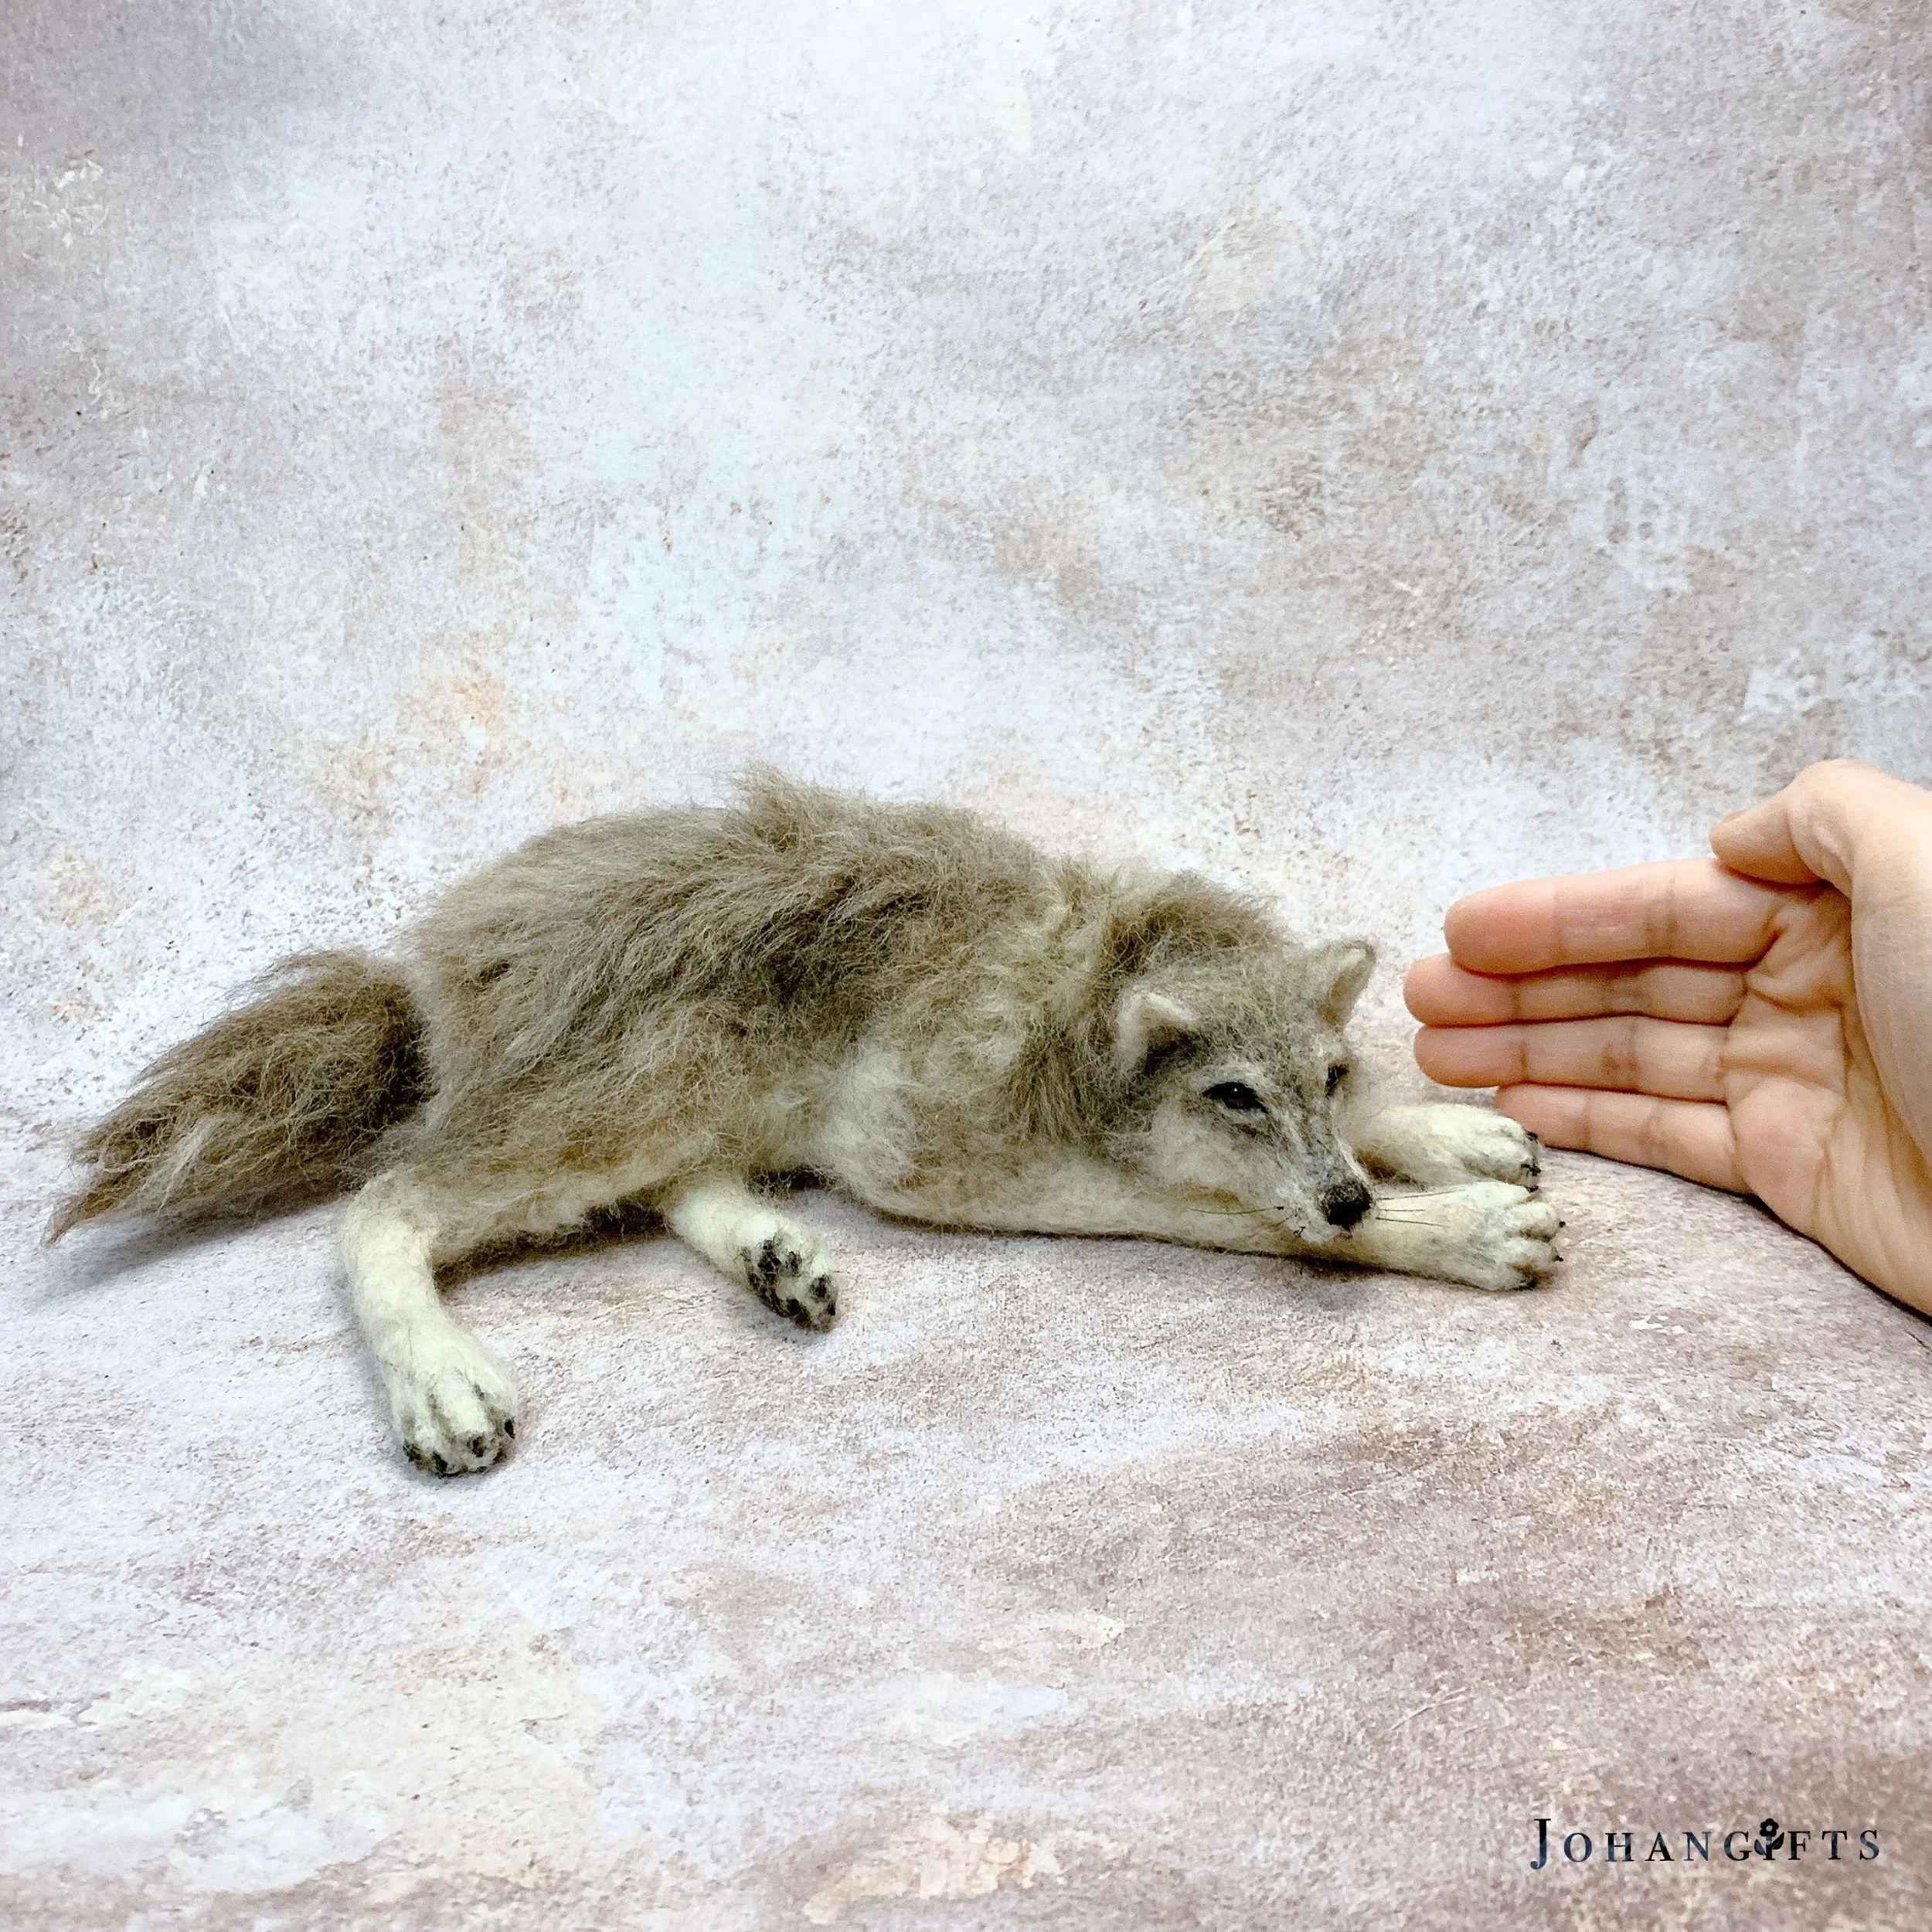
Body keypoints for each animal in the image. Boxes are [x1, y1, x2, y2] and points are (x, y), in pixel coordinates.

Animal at [52, 772, 1558, 1474]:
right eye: (1230, 1095)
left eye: (1329, 1079)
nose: (1350, 1189)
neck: (1081, 994)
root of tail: (425, 967)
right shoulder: (957, 1164)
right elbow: (1262, 1225)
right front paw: (1454, 1227)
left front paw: (1442, 1140)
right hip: (632, 1093)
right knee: (387, 1204)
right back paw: (440, 1380)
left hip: (685, 1099)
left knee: (683, 1190)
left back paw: (777, 1261)